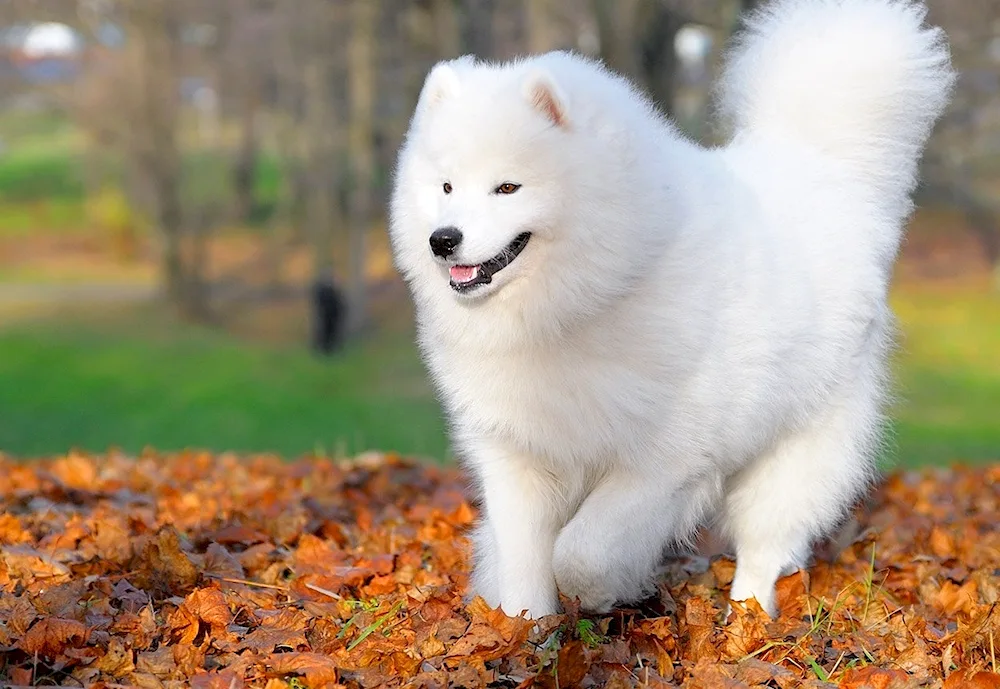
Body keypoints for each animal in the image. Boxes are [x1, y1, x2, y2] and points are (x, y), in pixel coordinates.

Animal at [386, 0, 956, 620]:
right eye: (445, 187)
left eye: (507, 188)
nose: (443, 240)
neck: (582, 299)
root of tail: (823, 165)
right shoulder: (516, 454)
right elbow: (522, 567)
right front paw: (524, 632)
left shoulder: (661, 461)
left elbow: (583, 550)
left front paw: (598, 594)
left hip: (797, 445)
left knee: (765, 545)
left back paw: (747, 621)